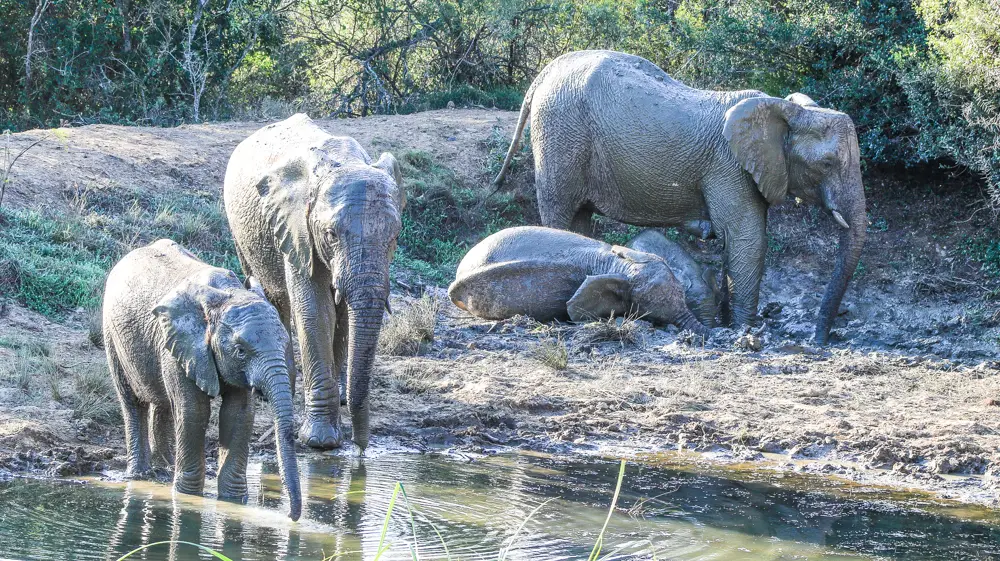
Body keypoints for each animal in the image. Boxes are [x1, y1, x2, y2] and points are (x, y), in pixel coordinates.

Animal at [104, 237, 304, 520]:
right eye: (240, 350)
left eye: (285, 343)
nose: (291, 517)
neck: (226, 296)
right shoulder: (180, 344)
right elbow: (194, 412)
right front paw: (187, 496)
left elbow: (238, 414)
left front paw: (233, 499)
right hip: (112, 334)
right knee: (132, 402)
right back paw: (139, 476)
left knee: (164, 405)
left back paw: (164, 470)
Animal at [225, 114, 404, 450]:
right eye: (331, 234)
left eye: (395, 236)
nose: (361, 447)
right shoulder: (296, 229)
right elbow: (315, 311)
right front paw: (320, 441)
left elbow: (342, 312)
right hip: (240, 233)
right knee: (273, 298)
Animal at [494, 51, 868, 346]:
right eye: (827, 164)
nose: (820, 342)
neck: (784, 110)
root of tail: (545, 73)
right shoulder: (729, 167)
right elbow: (748, 240)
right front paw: (742, 331)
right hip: (559, 137)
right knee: (560, 213)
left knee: (579, 218)